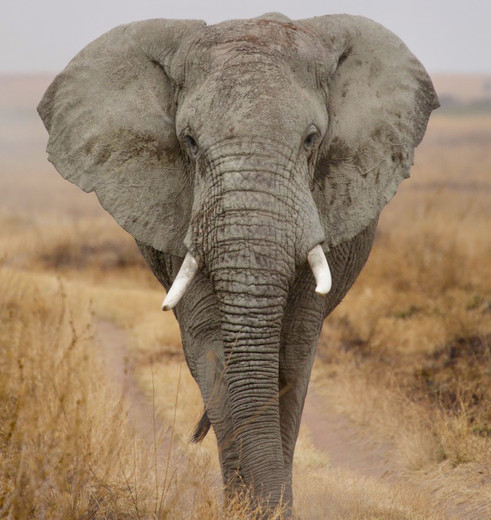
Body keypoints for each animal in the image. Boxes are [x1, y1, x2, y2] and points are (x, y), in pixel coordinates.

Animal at [37, 12, 438, 516]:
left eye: (312, 139)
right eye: (189, 142)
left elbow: (293, 354)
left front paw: (275, 509)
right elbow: (213, 351)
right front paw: (247, 510)